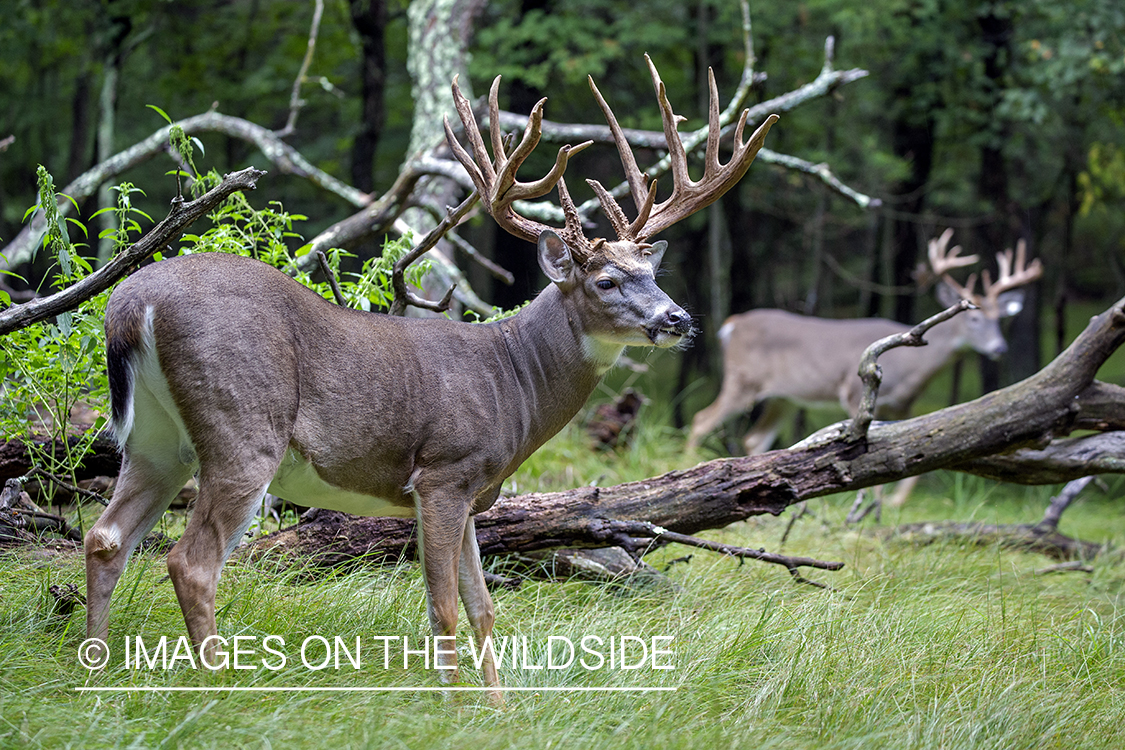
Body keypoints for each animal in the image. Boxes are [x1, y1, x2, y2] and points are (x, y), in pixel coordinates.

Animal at [83, 57, 778, 697]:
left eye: (652, 273)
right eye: (607, 281)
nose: (678, 318)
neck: (513, 380)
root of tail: (131, 302)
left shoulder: (475, 492)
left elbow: (483, 606)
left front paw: (496, 710)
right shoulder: (443, 471)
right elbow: (442, 605)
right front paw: (455, 707)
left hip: (154, 439)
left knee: (105, 537)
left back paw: (94, 669)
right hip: (243, 426)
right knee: (190, 562)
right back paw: (220, 688)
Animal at [684, 230, 1044, 458]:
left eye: (1000, 320)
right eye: (974, 319)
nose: (999, 349)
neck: (915, 370)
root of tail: (731, 325)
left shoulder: (904, 405)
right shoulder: (854, 392)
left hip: (783, 397)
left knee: (754, 439)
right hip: (742, 380)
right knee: (701, 419)